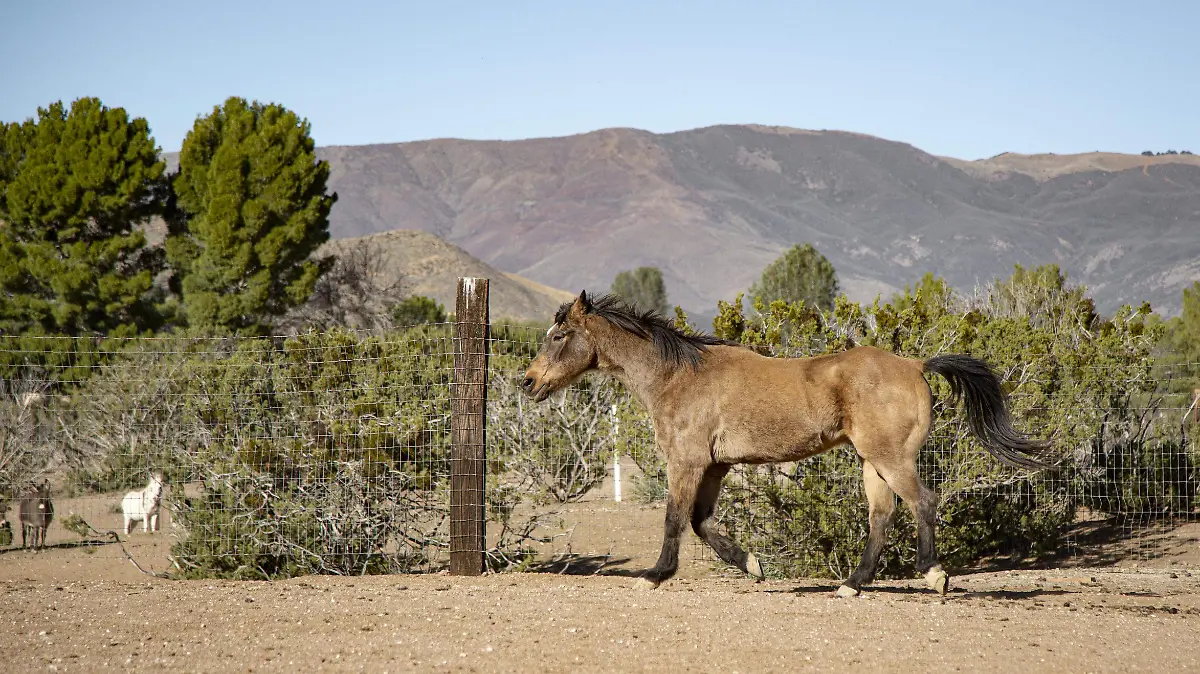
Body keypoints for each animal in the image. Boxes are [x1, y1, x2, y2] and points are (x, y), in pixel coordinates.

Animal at [520, 291, 1054, 597]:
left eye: (560, 334)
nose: (528, 383)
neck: (677, 376)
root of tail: (916, 365)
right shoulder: (715, 466)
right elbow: (700, 522)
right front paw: (753, 566)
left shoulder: (686, 462)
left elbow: (675, 518)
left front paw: (655, 575)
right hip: (872, 462)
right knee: (881, 516)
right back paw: (852, 585)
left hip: (889, 457)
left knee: (924, 501)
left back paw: (933, 575)